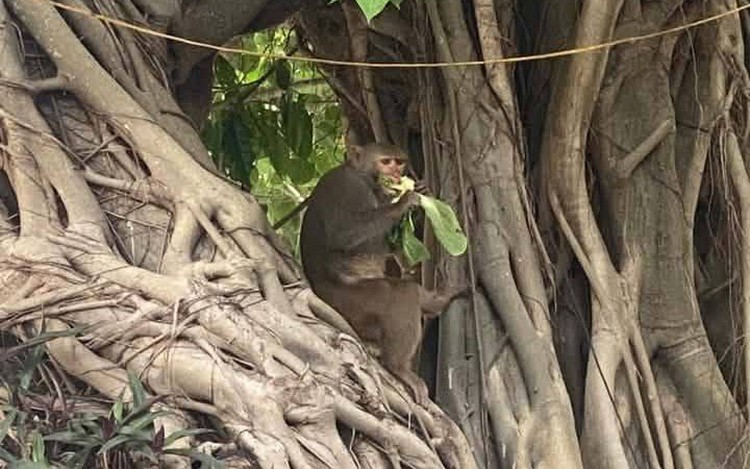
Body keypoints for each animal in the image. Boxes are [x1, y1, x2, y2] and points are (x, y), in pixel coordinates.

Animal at [300, 142, 461, 403]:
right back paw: (398, 367)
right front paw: (404, 202)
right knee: (400, 294)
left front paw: (418, 201)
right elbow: (345, 233)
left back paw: (438, 301)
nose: (396, 174)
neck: (364, 178)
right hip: (350, 304)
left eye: (399, 162)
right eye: (386, 162)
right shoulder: (347, 187)